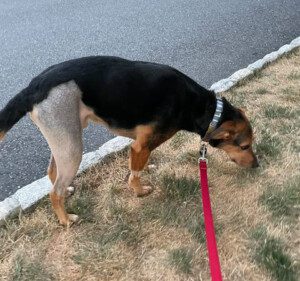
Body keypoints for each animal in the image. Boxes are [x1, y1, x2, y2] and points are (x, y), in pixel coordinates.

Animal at [0, 55, 258, 224]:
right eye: (245, 146)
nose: (257, 165)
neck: (202, 107)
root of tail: (34, 86)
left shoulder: (142, 148)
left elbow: (141, 166)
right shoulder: (140, 146)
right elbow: (135, 173)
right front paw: (140, 191)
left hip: (65, 138)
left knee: (53, 174)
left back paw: (68, 191)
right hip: (72, 147)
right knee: (55, 191)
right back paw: (65, 220)